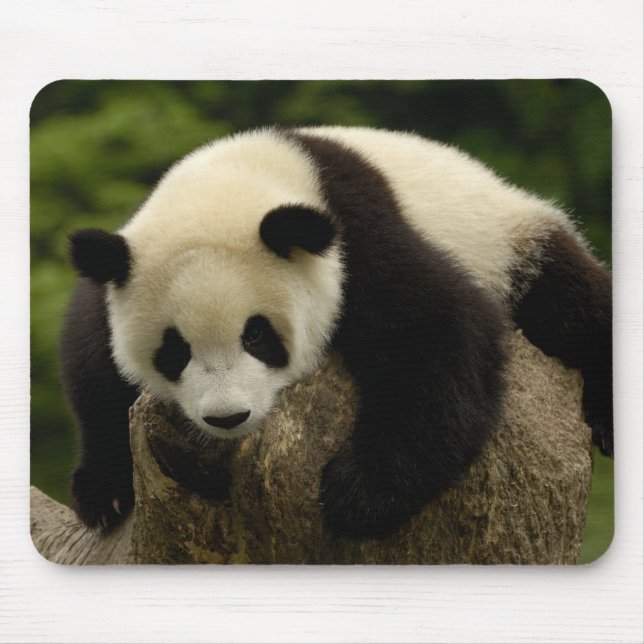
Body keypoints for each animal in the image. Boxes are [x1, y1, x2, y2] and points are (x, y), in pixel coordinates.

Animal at [60, 126, 612, 538]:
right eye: (175, 349)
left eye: (256, 335)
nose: (227, 416)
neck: (239, 179)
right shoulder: (117, 270)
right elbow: (93, 364)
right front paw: (106, 493)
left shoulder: (356, 238)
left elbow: (439, 330)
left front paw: (358, 495)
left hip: (510, 245)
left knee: (576, 306)